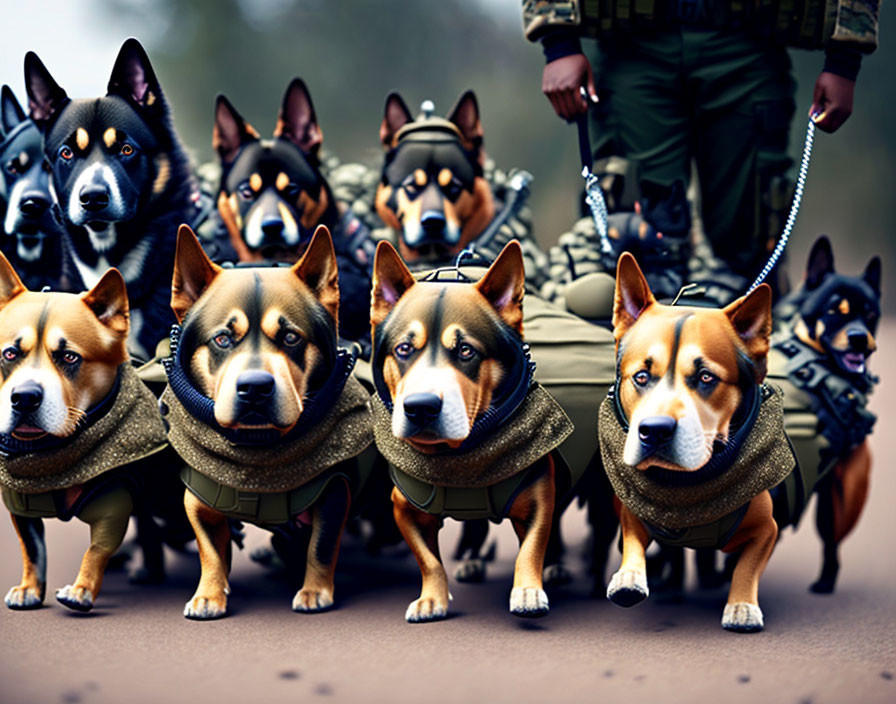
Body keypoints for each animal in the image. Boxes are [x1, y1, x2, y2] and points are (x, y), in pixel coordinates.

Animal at [0, 252, 168, 612]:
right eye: (9, 354)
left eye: (69, 356)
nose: (24, 397)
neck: (51, 453)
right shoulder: (20, 506)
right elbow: (32, 550)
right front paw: (29, 589)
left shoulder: (114, 506)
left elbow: (97, 550)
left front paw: (81, 590)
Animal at [161, 223, 372, 620]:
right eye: (222, 339)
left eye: (290, 337)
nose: (255, 388)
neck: (258, 448)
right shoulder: (197, 498)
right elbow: (210, 552)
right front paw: (209, 595)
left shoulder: (335, 492)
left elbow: (321, 547)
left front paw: (315, 591)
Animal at [370, 238, 576, 620]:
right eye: (403, 349)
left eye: (466, 351)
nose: (421, 407)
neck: (460, 457)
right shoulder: (403, 508)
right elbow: (428, 560)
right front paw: (432, 599)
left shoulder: (540, 496)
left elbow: (532, 547)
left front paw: (528, 591)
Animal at [600, 252, 792, 632]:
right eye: (641, 376)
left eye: (706, 378)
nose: (654, 431)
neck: (684, 484)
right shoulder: (630, 511)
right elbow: (632, 539)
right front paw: (629, 577)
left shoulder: (767, 528)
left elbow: (748, 564)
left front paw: (742, 605)